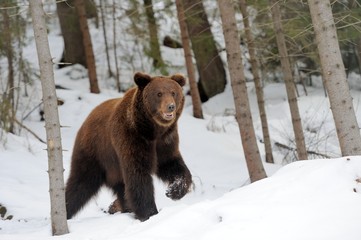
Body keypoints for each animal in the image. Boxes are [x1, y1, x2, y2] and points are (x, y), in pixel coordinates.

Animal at [65, 71, 193, 221]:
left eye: (173, 92)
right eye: (159, 93)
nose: (170, 106)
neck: (151, 130)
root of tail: (86, 119)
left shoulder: (166, 142)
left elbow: (172, 165)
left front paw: (174, 190)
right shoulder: (132, 138)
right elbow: (138, 176)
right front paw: (149, 213)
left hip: (113, 167)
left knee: (119, 188)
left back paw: (118, 206)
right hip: (95, 152)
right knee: (80, 183)